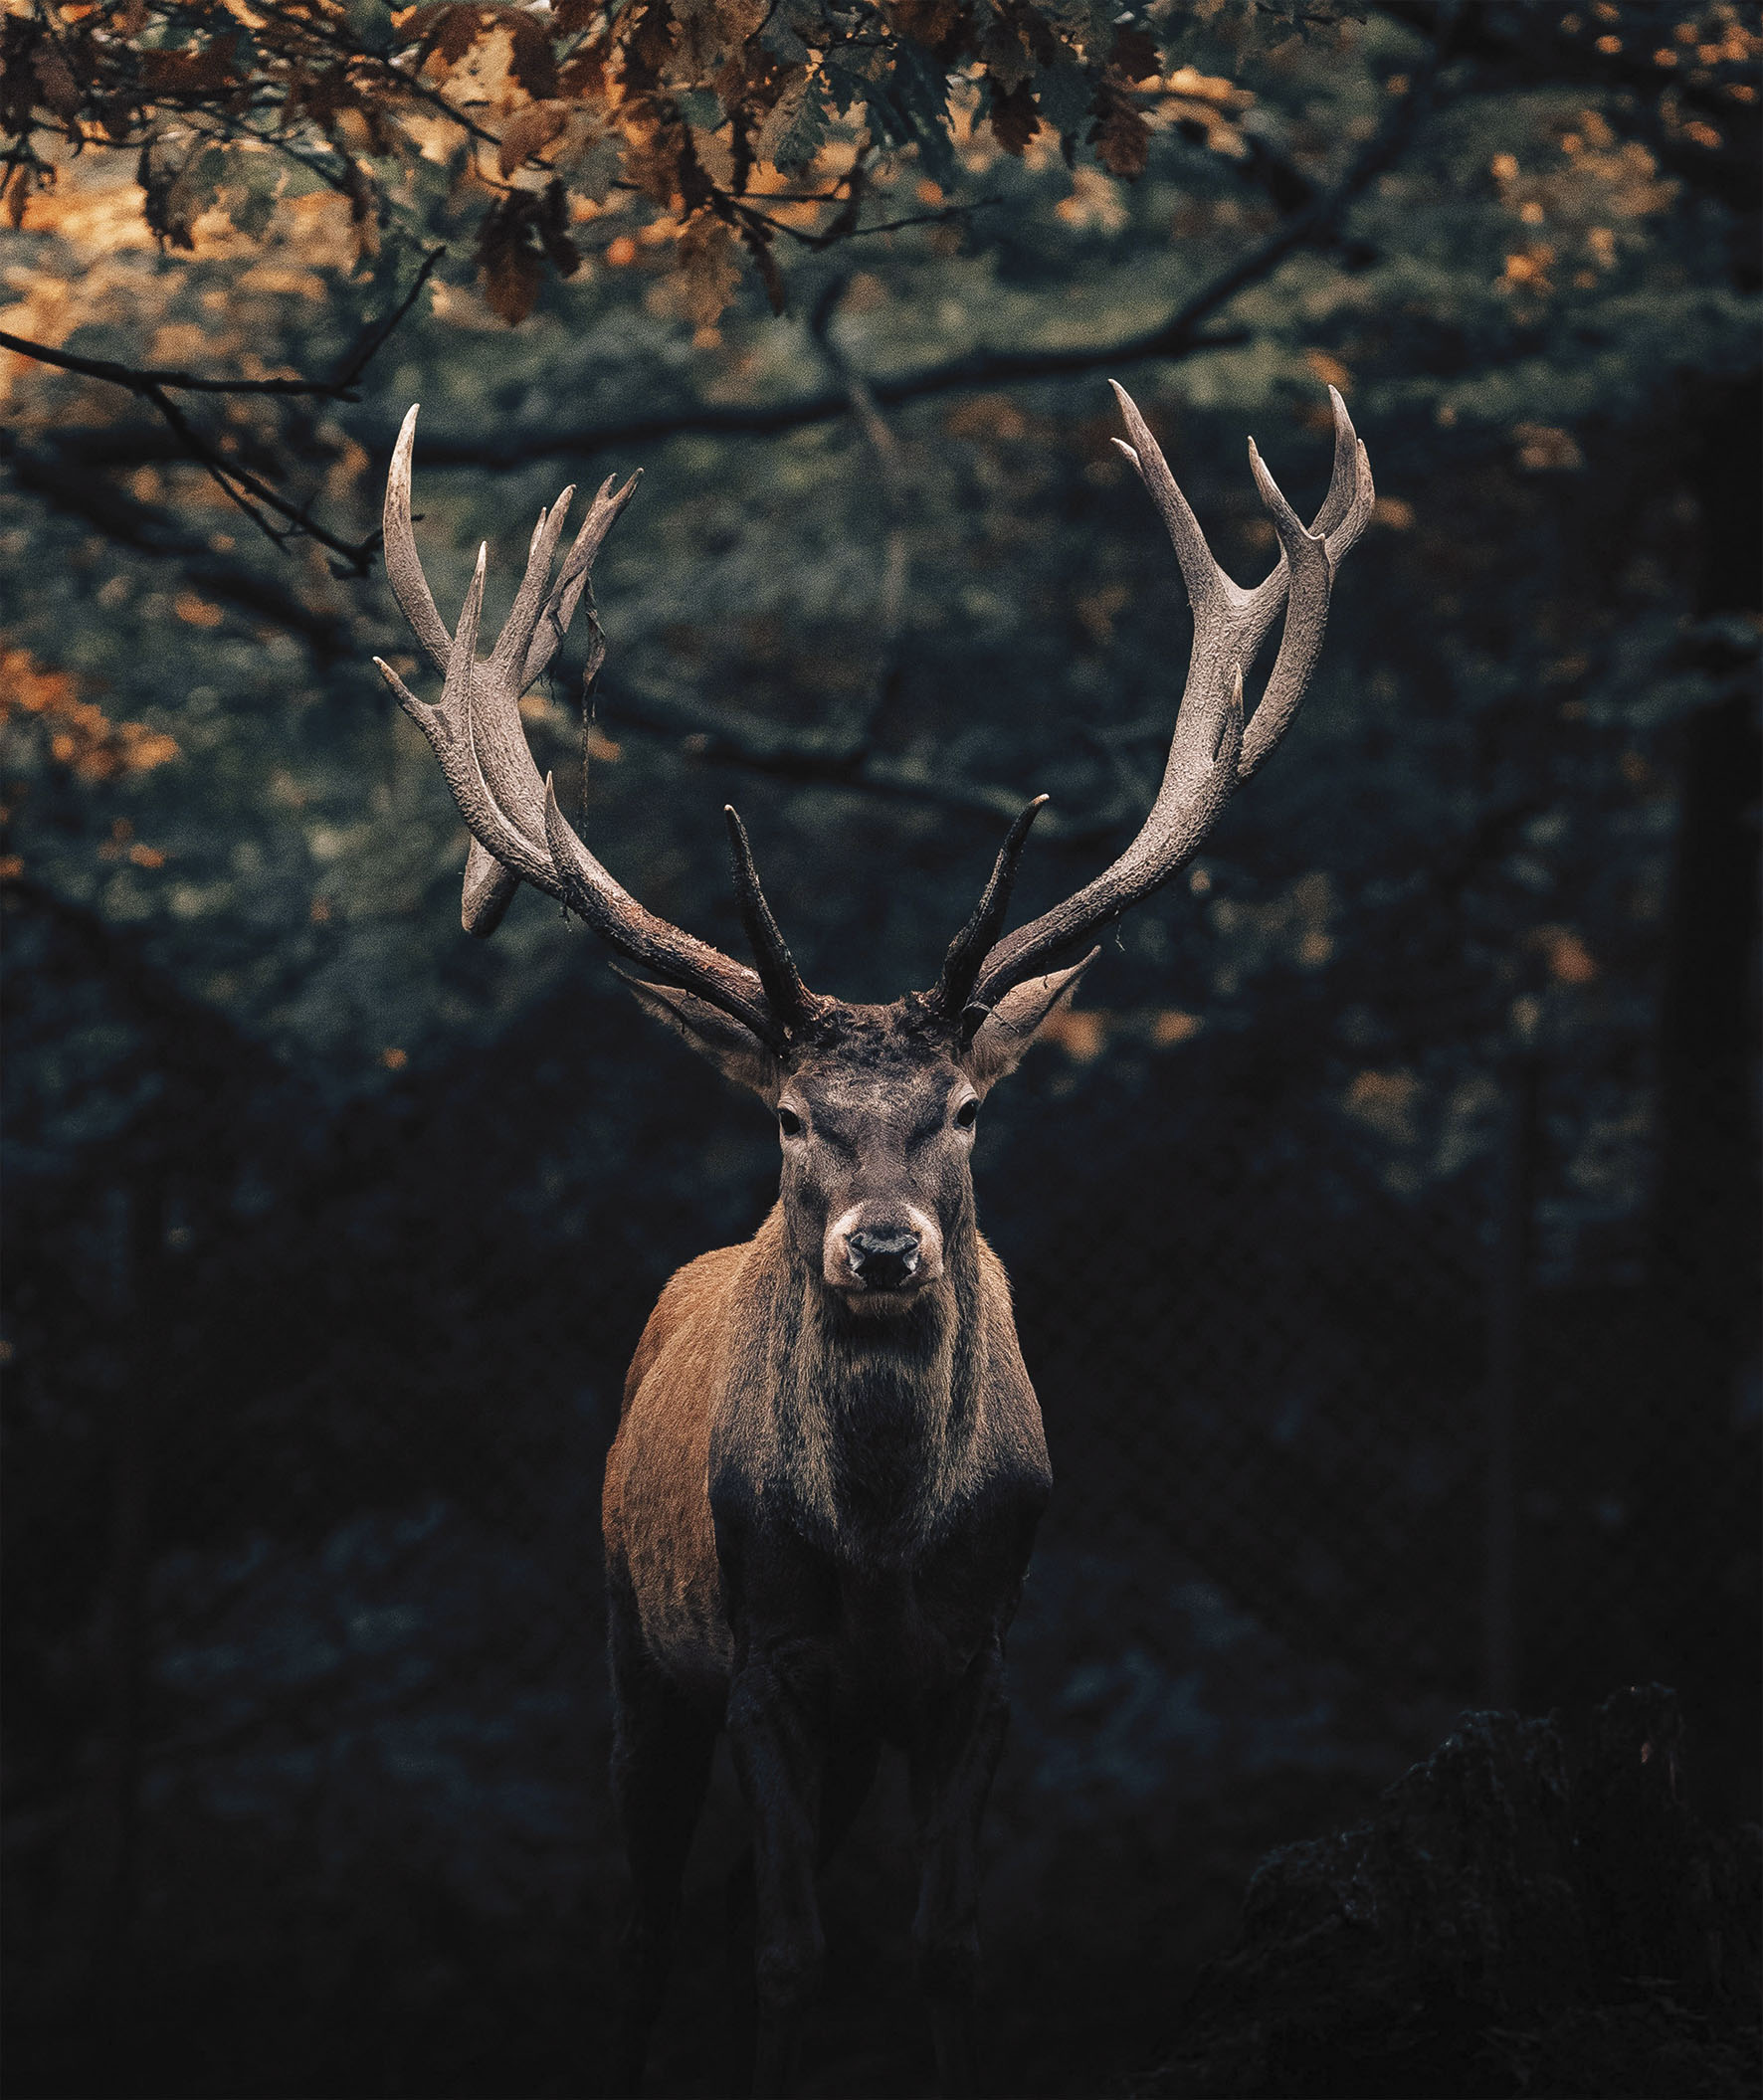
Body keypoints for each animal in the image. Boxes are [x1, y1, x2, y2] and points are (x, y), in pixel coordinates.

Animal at [372, 381, 1371, 2098]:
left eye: (963, 1107)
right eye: (788, 1116)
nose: (886, 1248)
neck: (891, 1540)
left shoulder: (982, 1666)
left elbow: (942, 1944)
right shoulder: (767, 1656)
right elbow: (790, 1952)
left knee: (718, 1909)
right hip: (637, 1639)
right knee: (653, 1922)